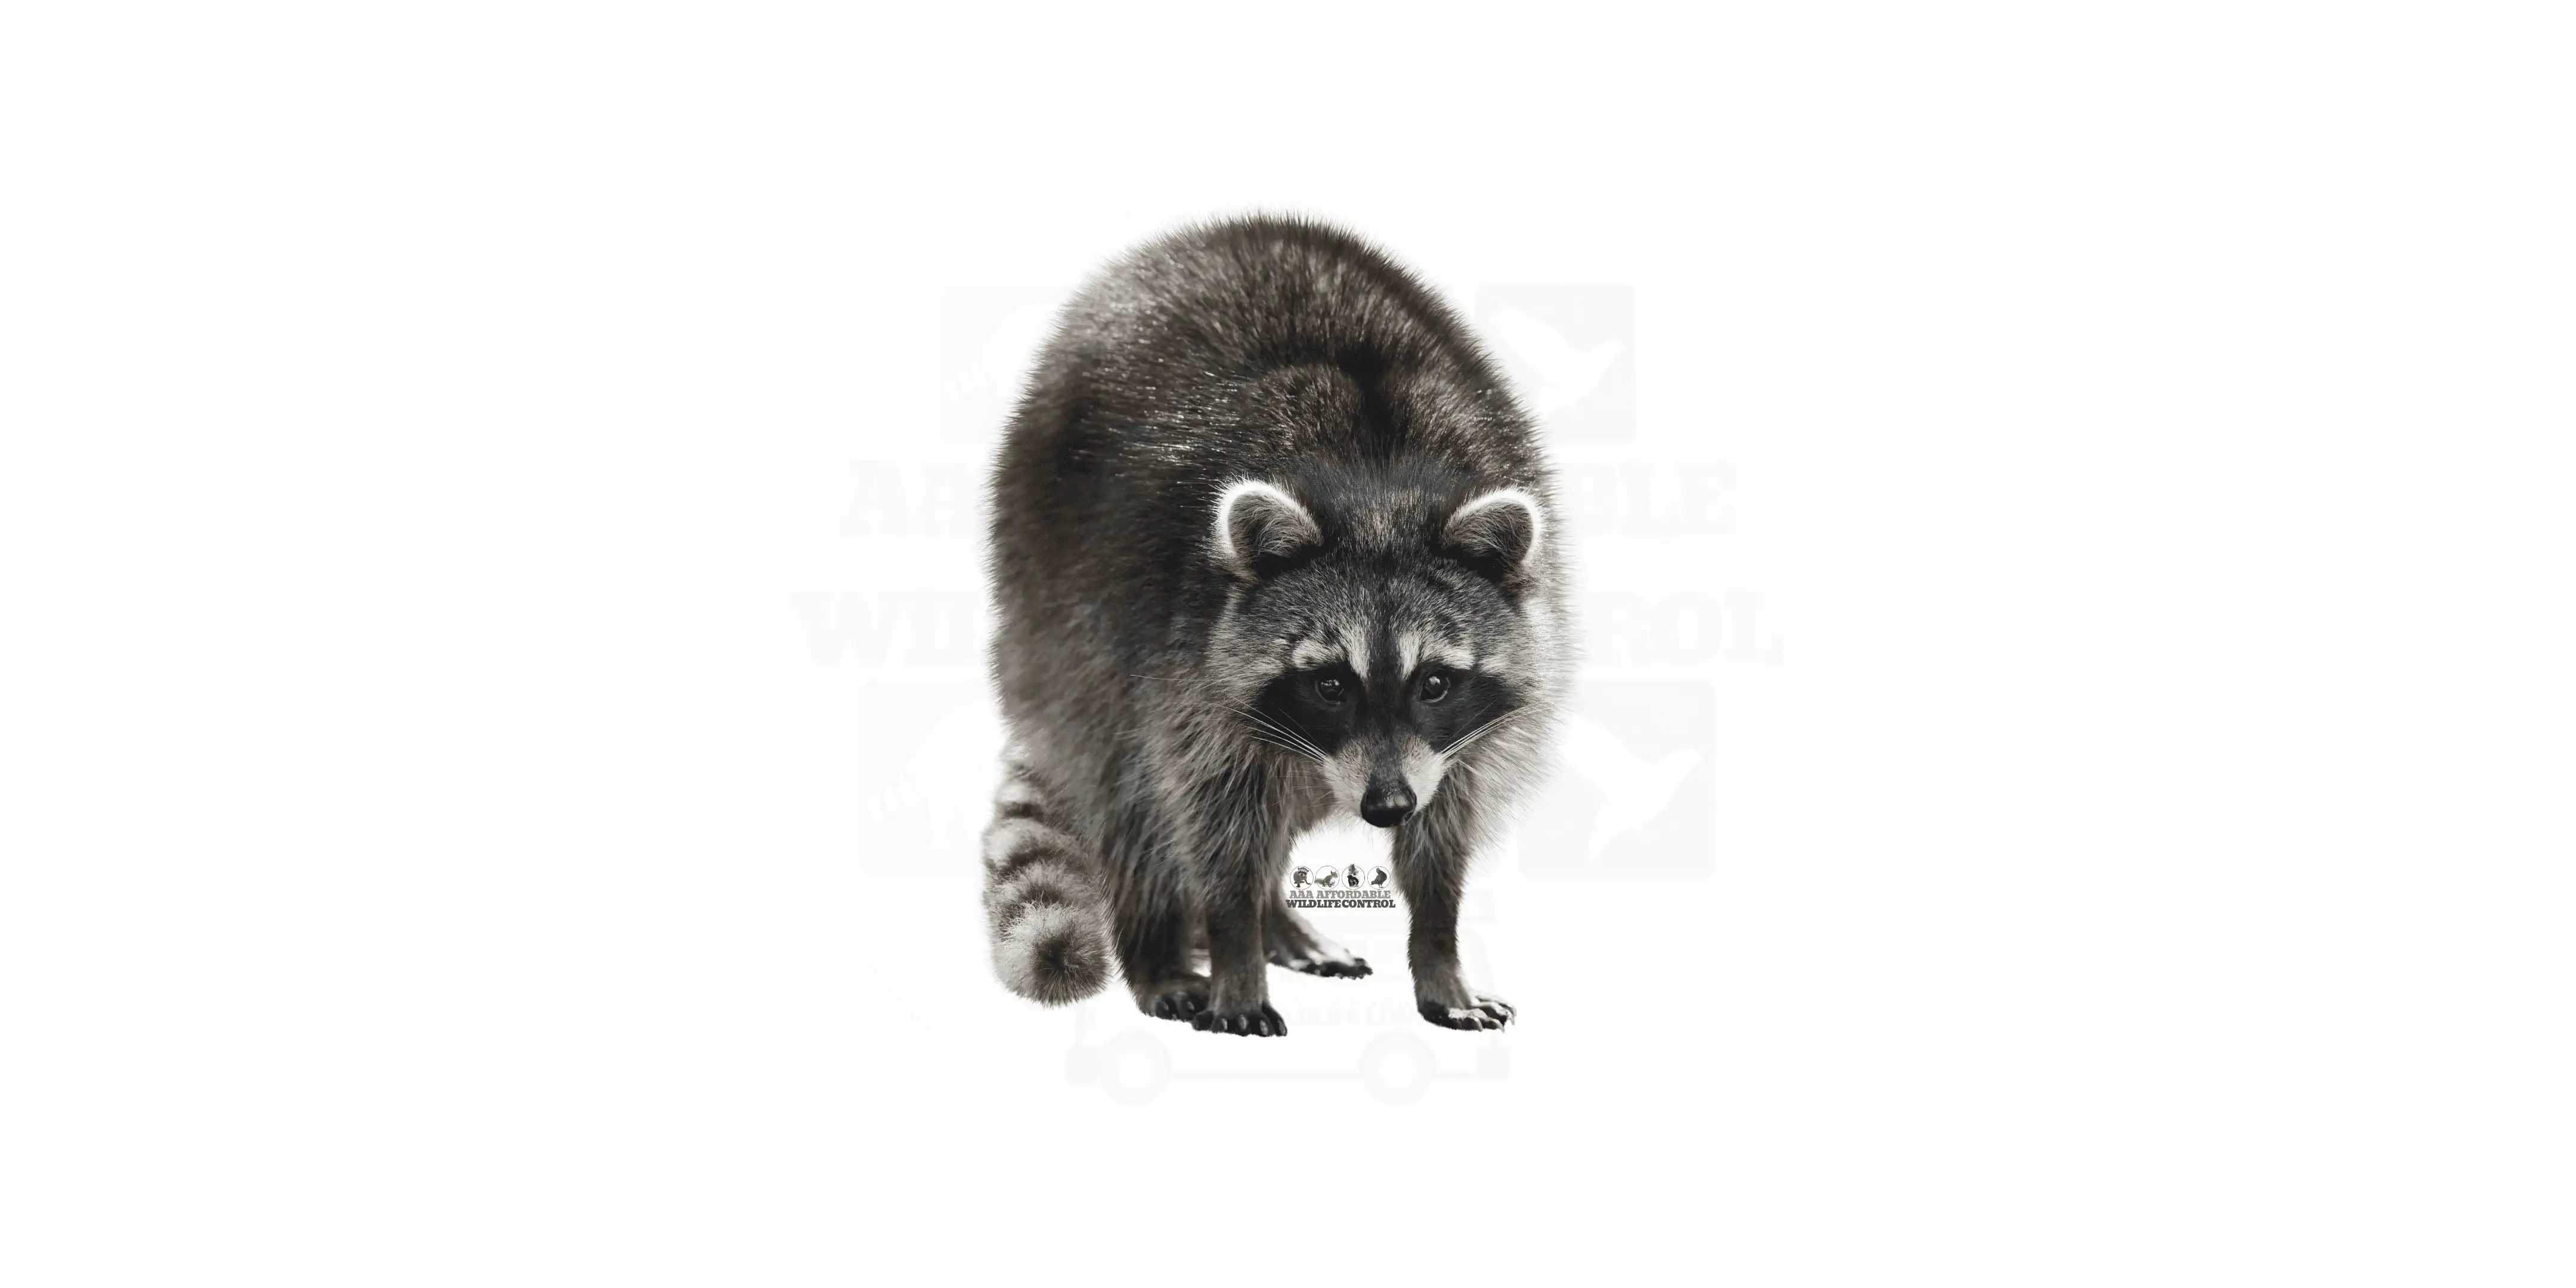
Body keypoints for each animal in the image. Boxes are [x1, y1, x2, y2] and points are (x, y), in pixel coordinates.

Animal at [980, 216, 1571, 1035]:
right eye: (1329, 684)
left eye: (1435, 682)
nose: (1386, 808)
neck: (1377, 491)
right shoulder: (1183, 655)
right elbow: (1215, 820)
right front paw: (1235, 952)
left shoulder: (1464, 734)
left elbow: (1445, 830)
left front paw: (1440, 956)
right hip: (1056, 591)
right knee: (1132, 792)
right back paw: (1161, 950)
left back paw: (1276, 922)